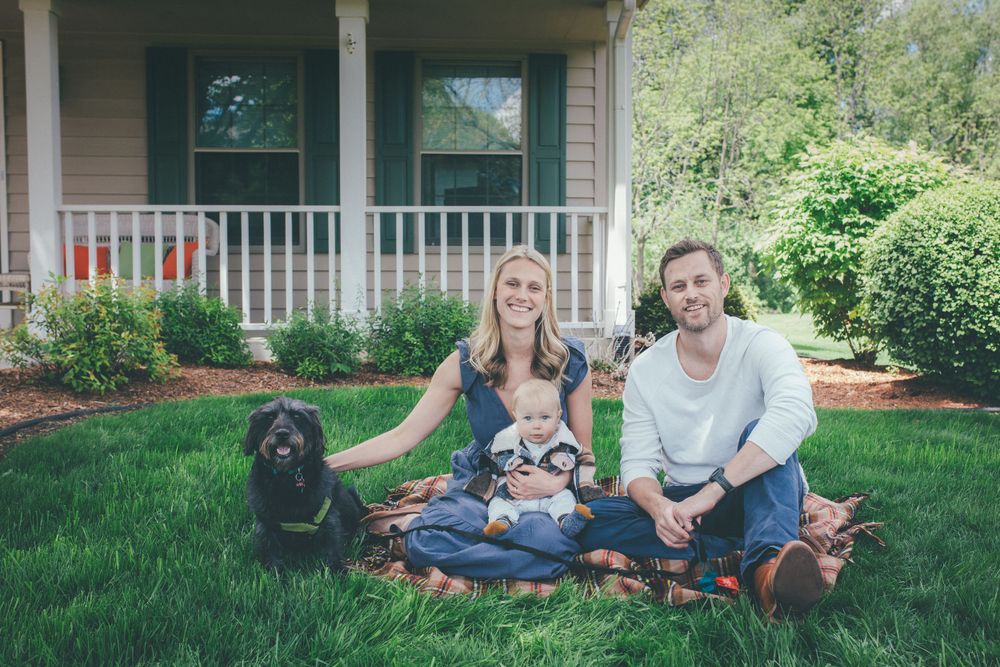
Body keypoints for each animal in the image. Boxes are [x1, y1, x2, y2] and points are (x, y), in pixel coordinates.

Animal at [243, 396, 365, 572]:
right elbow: (271, 550)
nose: (282, 433)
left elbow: (331, 548)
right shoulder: (265, 523)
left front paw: (336, 572)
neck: (286, 478)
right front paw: (275, 573)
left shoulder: (328, 517)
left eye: (297, 416)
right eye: (270, 417)